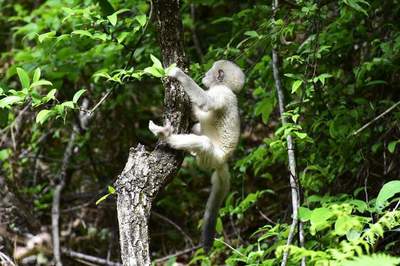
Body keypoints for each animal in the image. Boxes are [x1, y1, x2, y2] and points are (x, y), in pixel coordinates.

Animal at [149, 60, 245, 254]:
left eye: (211, 71)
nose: (205, 75)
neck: (227, 87)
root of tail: (223, 161)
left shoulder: (220, 93)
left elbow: (206, 103)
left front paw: (177, 74)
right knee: (196, 129)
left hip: (212, 157)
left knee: (204, 144)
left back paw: (166, 136)